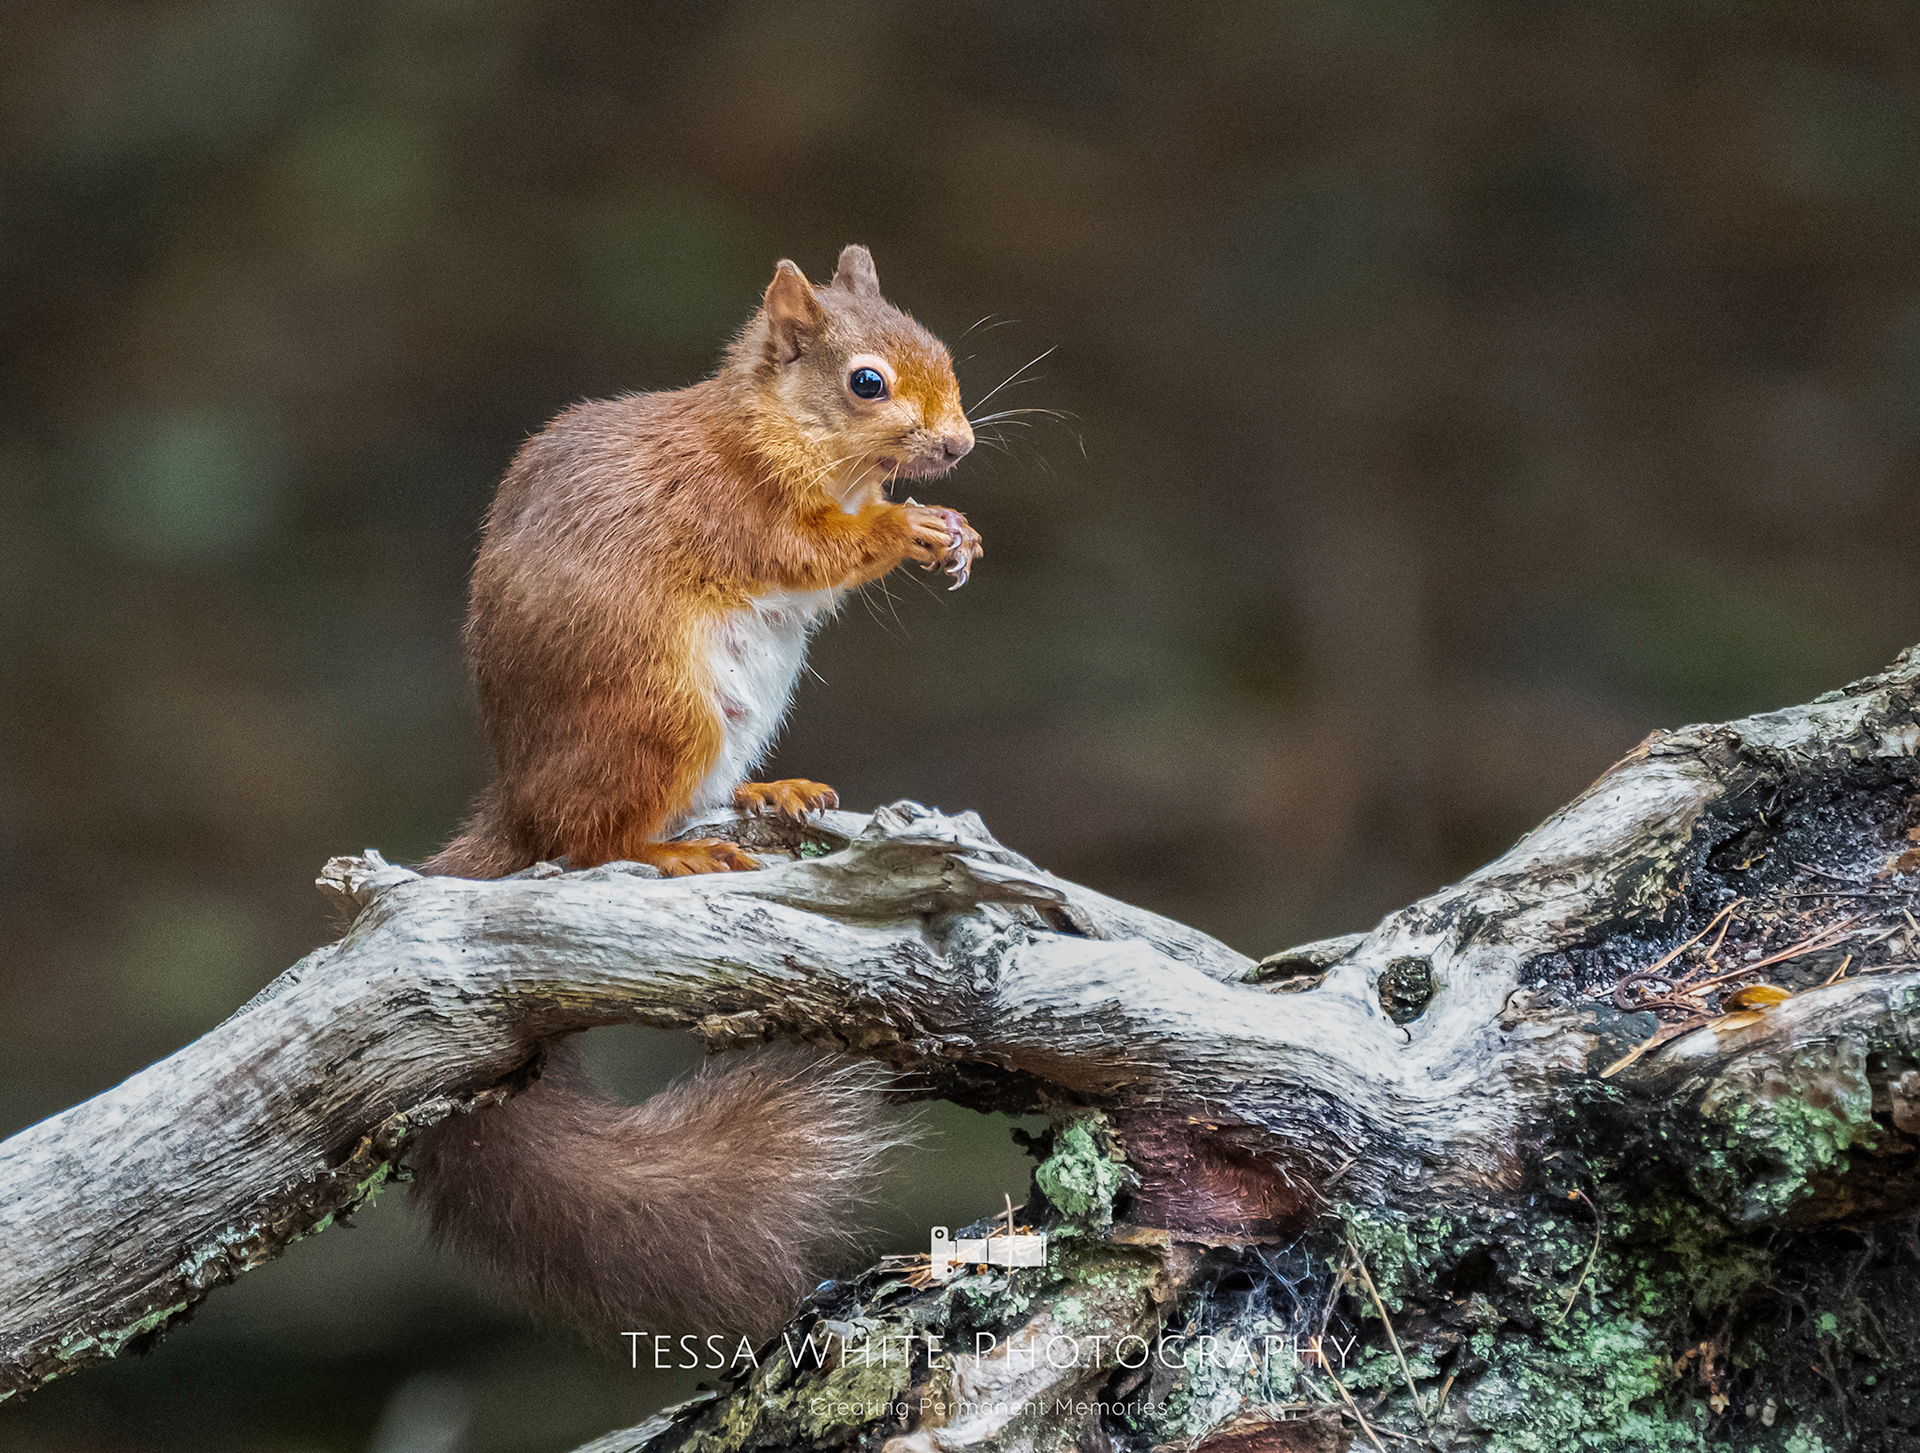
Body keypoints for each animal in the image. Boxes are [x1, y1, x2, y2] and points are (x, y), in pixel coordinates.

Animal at [407, 245, 981, 1344]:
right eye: (867, 383)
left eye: (945, 351)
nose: (961, 445)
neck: (777, 437)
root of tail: (518, 799)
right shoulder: (732, 506)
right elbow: (813, 550)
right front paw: (907, 525)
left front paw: (959, 530)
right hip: (661, 714)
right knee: (594, 841)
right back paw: (672, 849)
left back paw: (773, 791)